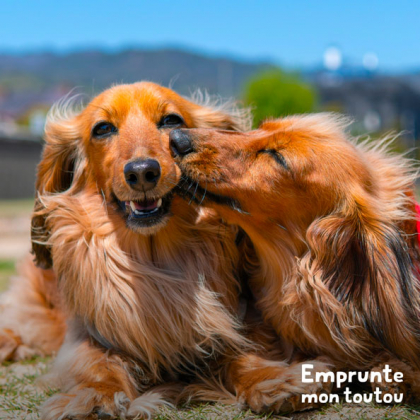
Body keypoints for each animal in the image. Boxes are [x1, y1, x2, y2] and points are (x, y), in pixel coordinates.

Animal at [171, 113, 420, 406]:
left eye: (278, 157)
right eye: (258, 129)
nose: (175, 137)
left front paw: (399, 371)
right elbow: (235, 361)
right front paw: (277, 380)